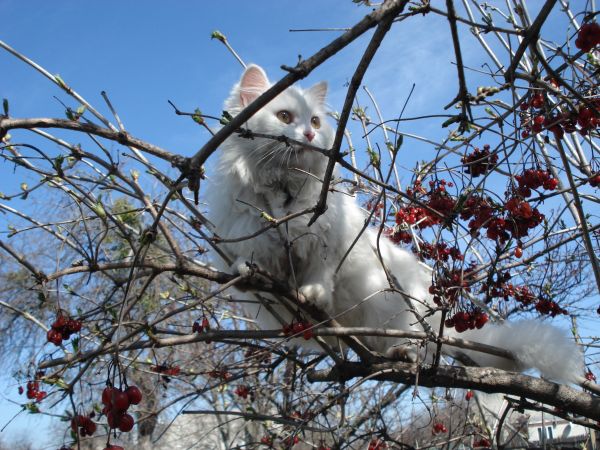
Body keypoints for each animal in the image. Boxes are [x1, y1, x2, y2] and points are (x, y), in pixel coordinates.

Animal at [205, 65, 580, 384]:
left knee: (418, 348)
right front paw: (247, 271)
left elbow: (319, 277)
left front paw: (313, 294)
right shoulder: (252, 240)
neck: (284, 191)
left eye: (314, 121)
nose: (309, 134)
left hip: (396, 308)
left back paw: (403, 353)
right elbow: (255, 265)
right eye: (284, 117)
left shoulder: (328, 242)